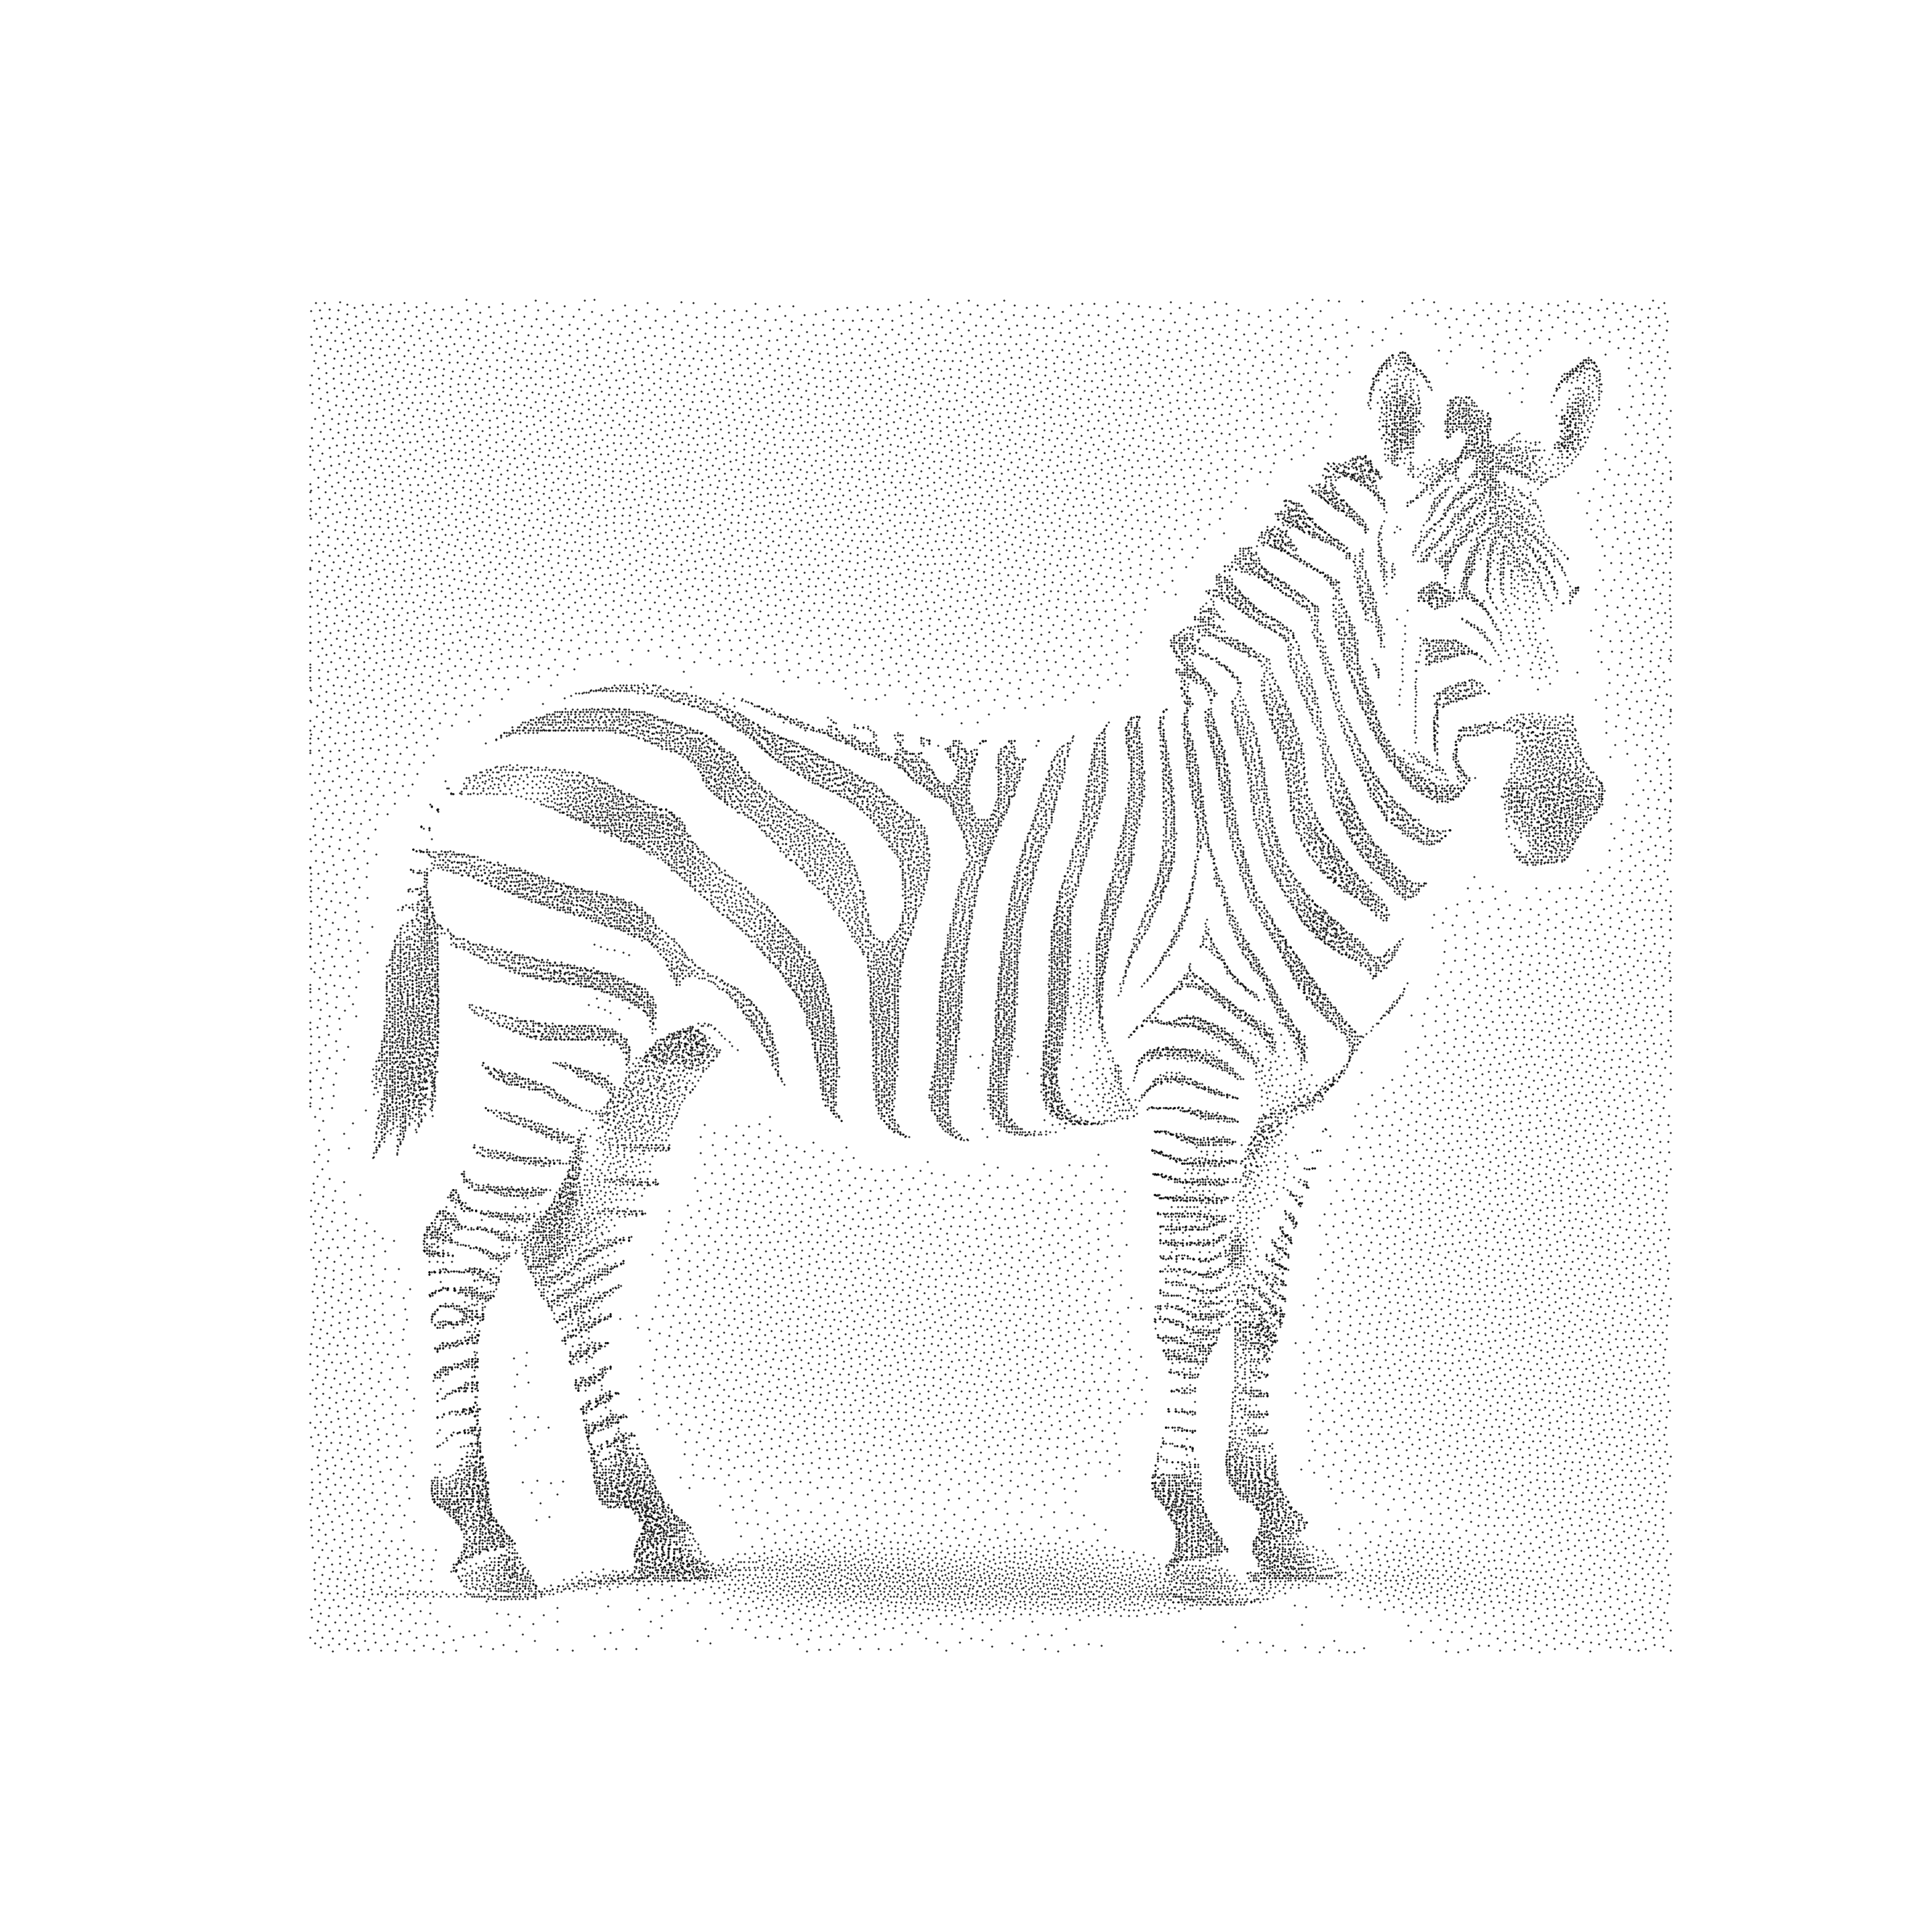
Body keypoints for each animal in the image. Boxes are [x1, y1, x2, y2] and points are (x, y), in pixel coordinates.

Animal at [372, 350, 1608, 1606]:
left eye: (1569, 597)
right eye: (1433, 597)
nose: (1562, 805)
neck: (1275, 810)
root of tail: (493, 748)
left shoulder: (1307, 1101)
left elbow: (1261, 1309)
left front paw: (1278, 1517)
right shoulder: (1196, 1074)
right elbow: (1190, 1300)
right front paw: (1197, 1533)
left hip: (653, 1051)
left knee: (577, 1255)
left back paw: (656, 1519)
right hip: (550, 1026)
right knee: (462, 1244)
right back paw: (484, 1535)